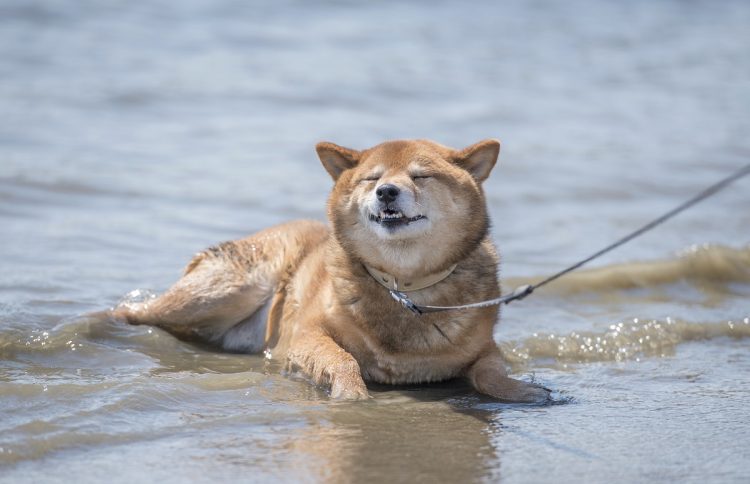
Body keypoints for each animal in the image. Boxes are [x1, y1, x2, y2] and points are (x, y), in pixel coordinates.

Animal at [116, 138, 552, 402]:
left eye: (420, 175)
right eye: (372, 178)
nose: (387, 191)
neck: (403, 288)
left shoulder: (483, 347)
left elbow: (491, 372)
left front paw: (524, 392)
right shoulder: (305, 334)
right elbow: (342, 358)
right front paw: (351, 394)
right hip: (225, 290)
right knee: (133, 312)